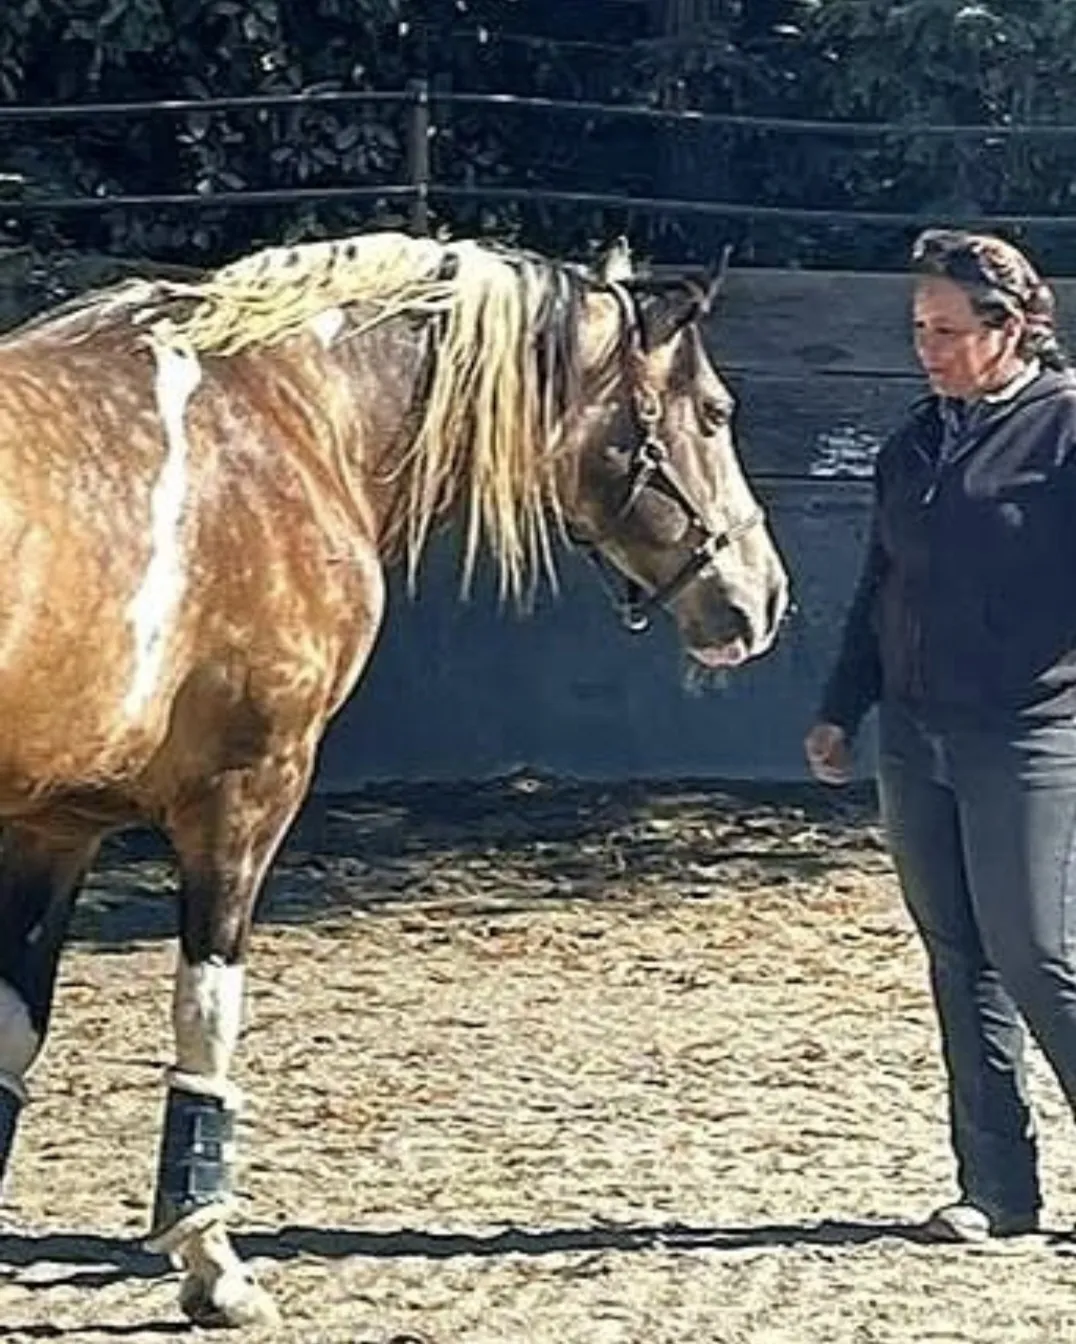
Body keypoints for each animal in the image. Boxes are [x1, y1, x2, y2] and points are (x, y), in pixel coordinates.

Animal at [0, 229, 788, 1327]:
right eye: (713, 412)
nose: (760, 598)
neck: (286, 412)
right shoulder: (246, 796)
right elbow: (208, 1019)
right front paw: (212, 1264)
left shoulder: (55, 828)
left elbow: (13, 1040)